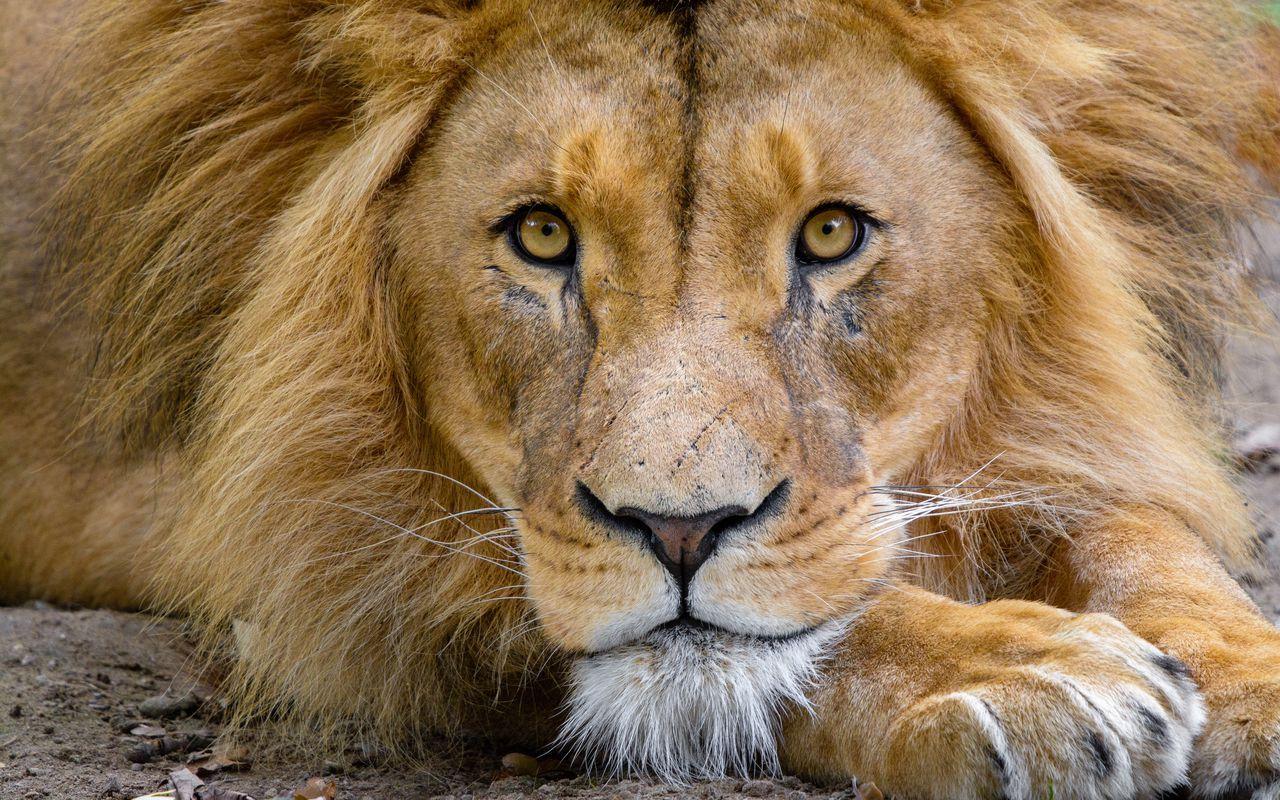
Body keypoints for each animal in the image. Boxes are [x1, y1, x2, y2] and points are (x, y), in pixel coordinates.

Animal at [2, 0, 1280, 797]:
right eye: (540, 235)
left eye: (830, 233)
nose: (677, 529)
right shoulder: (319, 562)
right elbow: (817, 631)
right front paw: (1020, 670)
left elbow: (1140, 537)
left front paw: (1245, 677)